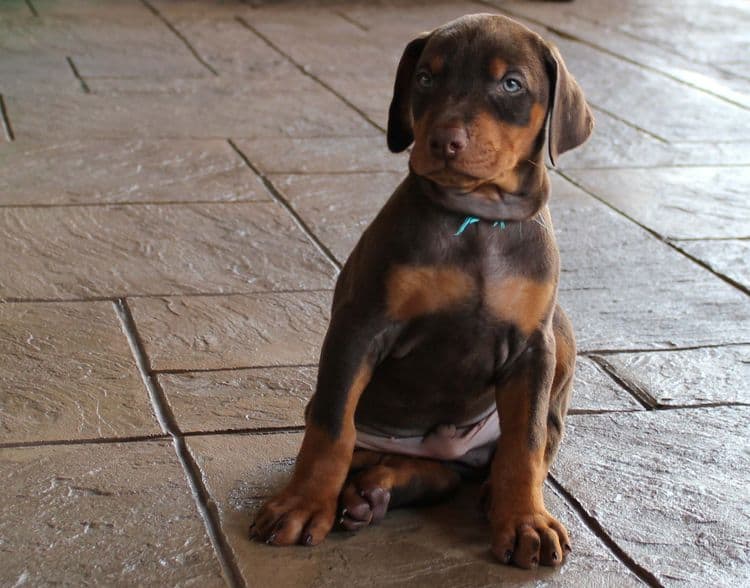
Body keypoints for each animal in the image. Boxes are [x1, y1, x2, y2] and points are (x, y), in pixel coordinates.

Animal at [251, 11, 592, 568]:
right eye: (426, 78)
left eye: (511, 84)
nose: (444, 140)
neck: (478, 217)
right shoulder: (361, 325)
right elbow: (331, 428)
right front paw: (302, 506)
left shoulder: (532, 346)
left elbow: (524, 444)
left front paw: (526, 521)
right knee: (388, 458)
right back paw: (367, 493)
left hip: (560, 337)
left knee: (523, 447)